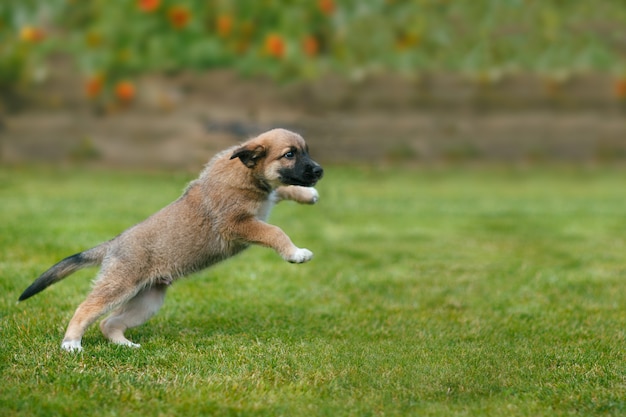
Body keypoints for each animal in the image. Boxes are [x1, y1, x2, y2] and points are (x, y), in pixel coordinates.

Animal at [18, 128, 322, 350]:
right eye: (289, 154)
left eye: (306, 151)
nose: (319, 171)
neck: (246, 173)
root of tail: (113, 244)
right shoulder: (237, 225)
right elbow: (275, 231)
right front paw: (296, 253)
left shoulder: (263, 205)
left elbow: (282, 190)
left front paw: (307, 195)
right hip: (119, 286)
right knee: (86, 309)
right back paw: (71, 344)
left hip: (147, 301)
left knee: (108, 324)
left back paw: (125, 345)